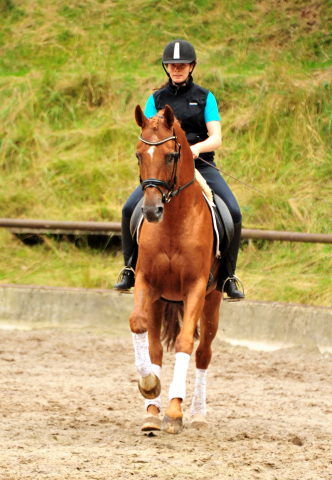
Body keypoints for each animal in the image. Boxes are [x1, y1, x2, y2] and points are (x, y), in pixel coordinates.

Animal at [130, 105, 223, 436]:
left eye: (171, 155)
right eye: (138, 154)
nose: (151, 210)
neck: (172, 223)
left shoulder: (196, 286)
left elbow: (185, 342)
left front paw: (174, 411)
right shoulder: (145, 282)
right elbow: (137, 324)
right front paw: (149, 386)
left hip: (213, 300)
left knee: (203, 352)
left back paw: (197, 414)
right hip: (160, 300)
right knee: (155, 346)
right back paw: (151, 413)